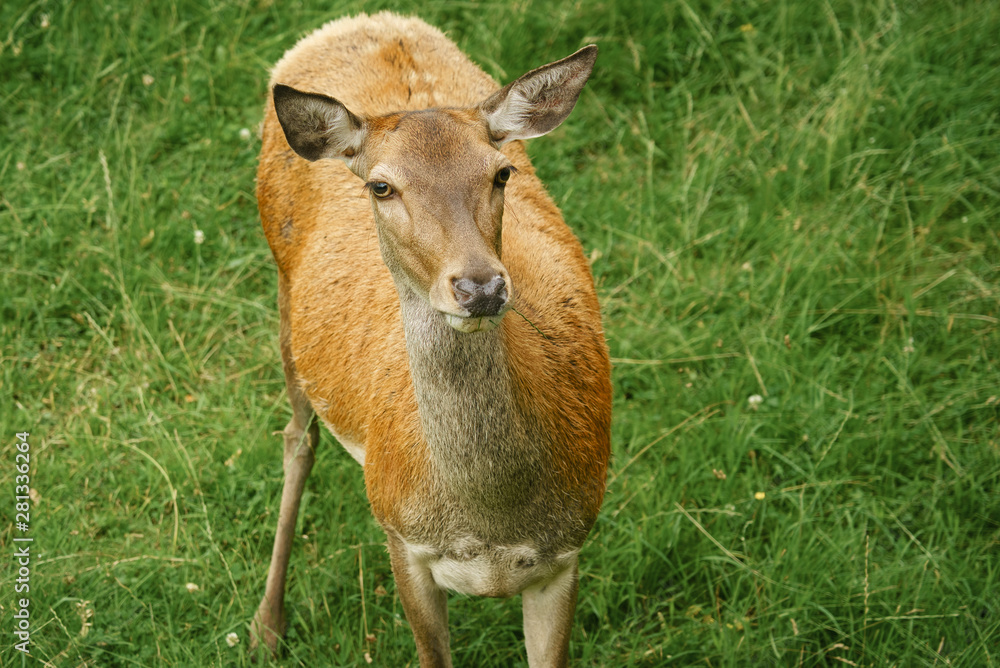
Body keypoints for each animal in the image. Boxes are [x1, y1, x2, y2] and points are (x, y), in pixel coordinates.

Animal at [249, 11, 608, 668]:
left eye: (501, 172)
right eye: (381, 187)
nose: (480, 286)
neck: (488, 527)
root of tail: (358, 21)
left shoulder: (570, 548)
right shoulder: (402, 539)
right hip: (282, 289)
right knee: (297, 438)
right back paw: (267, 624)